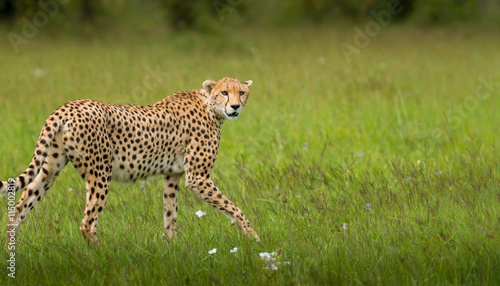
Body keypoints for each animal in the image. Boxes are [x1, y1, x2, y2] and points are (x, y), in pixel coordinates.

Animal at [1, 76, 262, 248]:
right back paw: (103, 255)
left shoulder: (172, 175)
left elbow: (170, 214)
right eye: (225, 92)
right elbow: (233, 207)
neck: (210, 106)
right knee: (87, 223)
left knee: (16, 212)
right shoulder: (198, 178)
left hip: (50, 170)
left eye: (242, 93)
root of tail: (68, 106)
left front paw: (172, 246)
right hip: (100, 174)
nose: (235, 106)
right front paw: (253, 237)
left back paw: (10, 257)